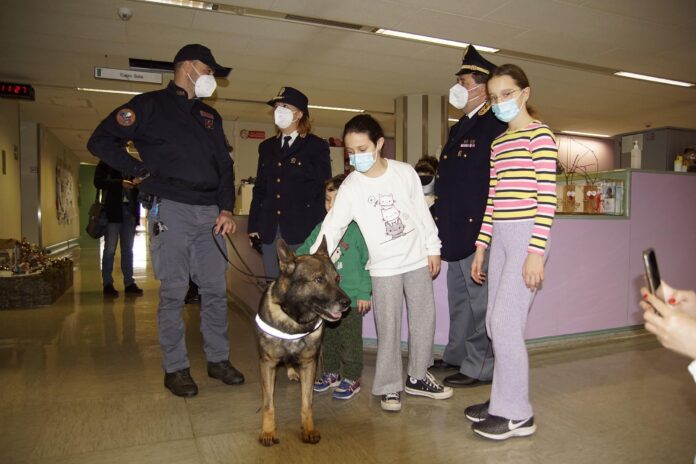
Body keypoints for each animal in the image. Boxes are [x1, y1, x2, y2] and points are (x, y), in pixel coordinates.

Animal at [256, 239, 350, 446]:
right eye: (319, 280)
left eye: (337, 278)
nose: (347, 303)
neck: (294, 320)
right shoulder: (268, 364)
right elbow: (268, 404)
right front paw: (268, 431)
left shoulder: (309, 364)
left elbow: (307, 403)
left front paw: (308, 428)